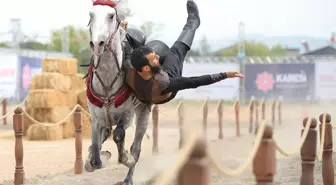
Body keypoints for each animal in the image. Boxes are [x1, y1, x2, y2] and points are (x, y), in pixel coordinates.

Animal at [84, 0, 152, 184]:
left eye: (111, 16)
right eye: (91, 14)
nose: (97, 43)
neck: (107, 82)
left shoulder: (127, 115)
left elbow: (119, 136)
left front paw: (126, 158)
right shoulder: (95, 117)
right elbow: (95, 155)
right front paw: (95, 157)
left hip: (143, 113)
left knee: (136, 147)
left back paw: (129, 176)